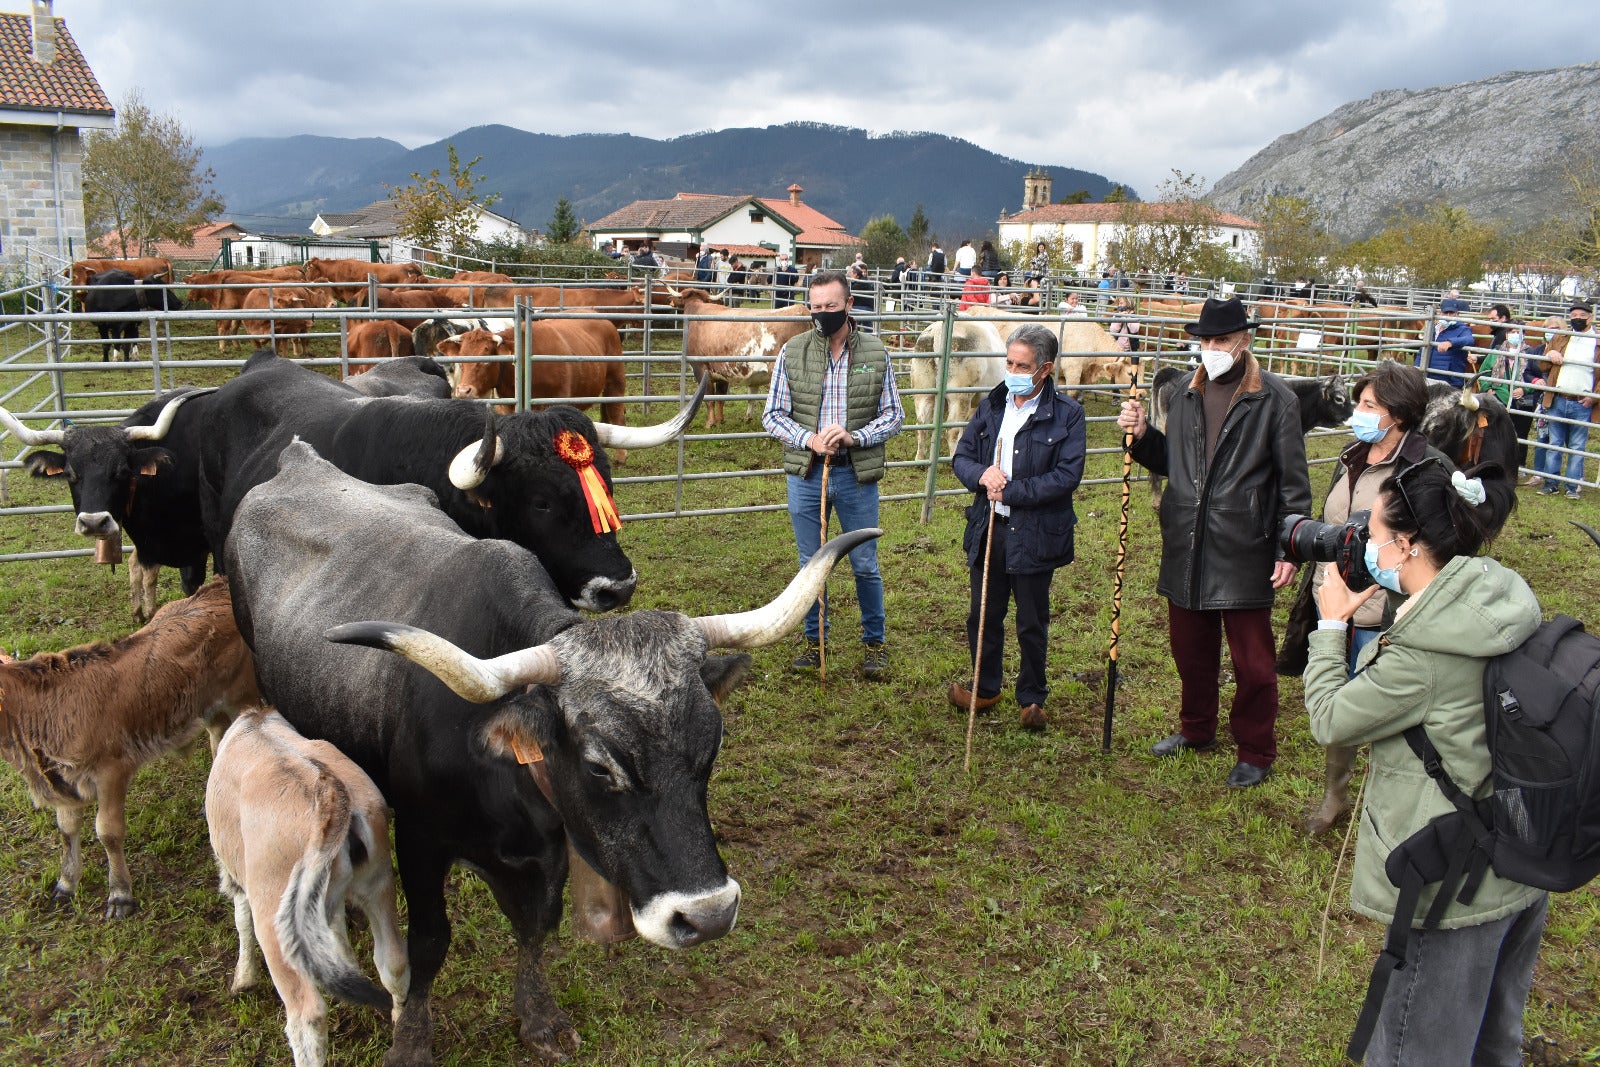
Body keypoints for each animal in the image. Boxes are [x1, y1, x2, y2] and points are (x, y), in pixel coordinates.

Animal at [0, 579, 256, 921]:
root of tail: (218, 585)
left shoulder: (111, 771)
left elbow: (108, 831)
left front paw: (120, 894)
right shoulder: (65, 781)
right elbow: (67, 830)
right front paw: (66, 884)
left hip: (242, 695)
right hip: (208, 706)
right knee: (219, 740)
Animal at [206, 710, 409, 1067]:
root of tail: (332, 803)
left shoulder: (232, 872)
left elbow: (241, 919)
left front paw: (243, 978)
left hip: (276, 918)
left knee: (307, 1015)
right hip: (378, 881)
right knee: (394, 962)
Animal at [224, 438, 876, 1062]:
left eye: (711, 745)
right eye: (598, 765)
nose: (708, 915)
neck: (503, 779)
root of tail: (298, 458)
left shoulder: (553, 844)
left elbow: (537, 929)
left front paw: (538, 1019)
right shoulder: (419, 839)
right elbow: (428, 943)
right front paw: (411, 1039)